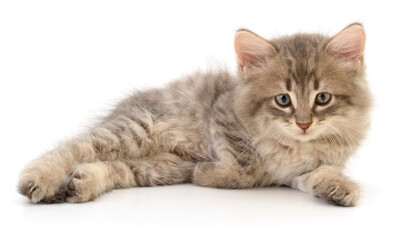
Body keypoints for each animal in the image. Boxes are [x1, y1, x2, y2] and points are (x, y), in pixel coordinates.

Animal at [17, 23, 372, 206]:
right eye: (283, 100)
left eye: (322, 98)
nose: (303, 124)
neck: (296, 146)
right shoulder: (222, 115)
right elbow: (244, 169)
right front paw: (208, 173)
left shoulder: (298, 172)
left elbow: (319, 174)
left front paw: (340, 187)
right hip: (134, 130)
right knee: (74, 148)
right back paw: (41, 179)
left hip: (158, 167)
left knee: (117, 167)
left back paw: (82, 184)